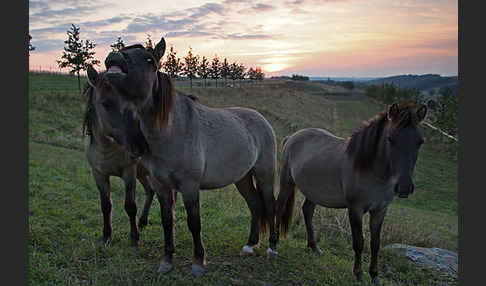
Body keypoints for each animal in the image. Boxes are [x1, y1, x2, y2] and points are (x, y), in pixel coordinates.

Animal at [82, 81, 159, 247]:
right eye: (106, 103)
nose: (139, 145)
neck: (108, 147)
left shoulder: (129, 172)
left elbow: (130, 206)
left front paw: (134, 239)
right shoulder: (99, 174)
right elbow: (106, 205)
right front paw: (106, 236)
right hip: (141, 173)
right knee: (150, 191)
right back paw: (143, 222)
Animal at [276, 102, 428, 284]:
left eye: (420, 142)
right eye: (390, 139)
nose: (404, 187)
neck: (370, 168)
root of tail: (292, 137)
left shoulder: (380, 210)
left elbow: (375, 243)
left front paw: (375, 276)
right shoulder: (355, 209)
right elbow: (359, 242)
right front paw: (359, 274)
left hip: (313, 192)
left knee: (307, 211)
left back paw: (314, 247)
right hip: (286, 183)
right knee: (280, 207)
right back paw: (274, 241)